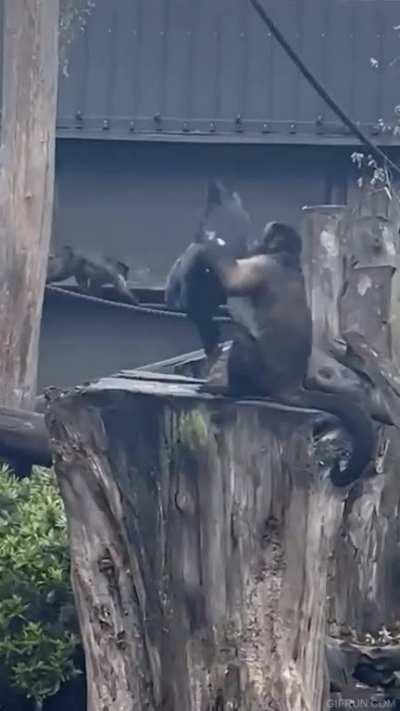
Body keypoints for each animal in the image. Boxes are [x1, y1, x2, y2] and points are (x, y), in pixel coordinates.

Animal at [196, 221, 375, 488]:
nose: (263, 235)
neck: (288, 260)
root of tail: (290, 385)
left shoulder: (265, 263)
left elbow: (233, 281)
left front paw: (207, 246)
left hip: (261, 373)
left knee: (242, 343)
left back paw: (232, 389)